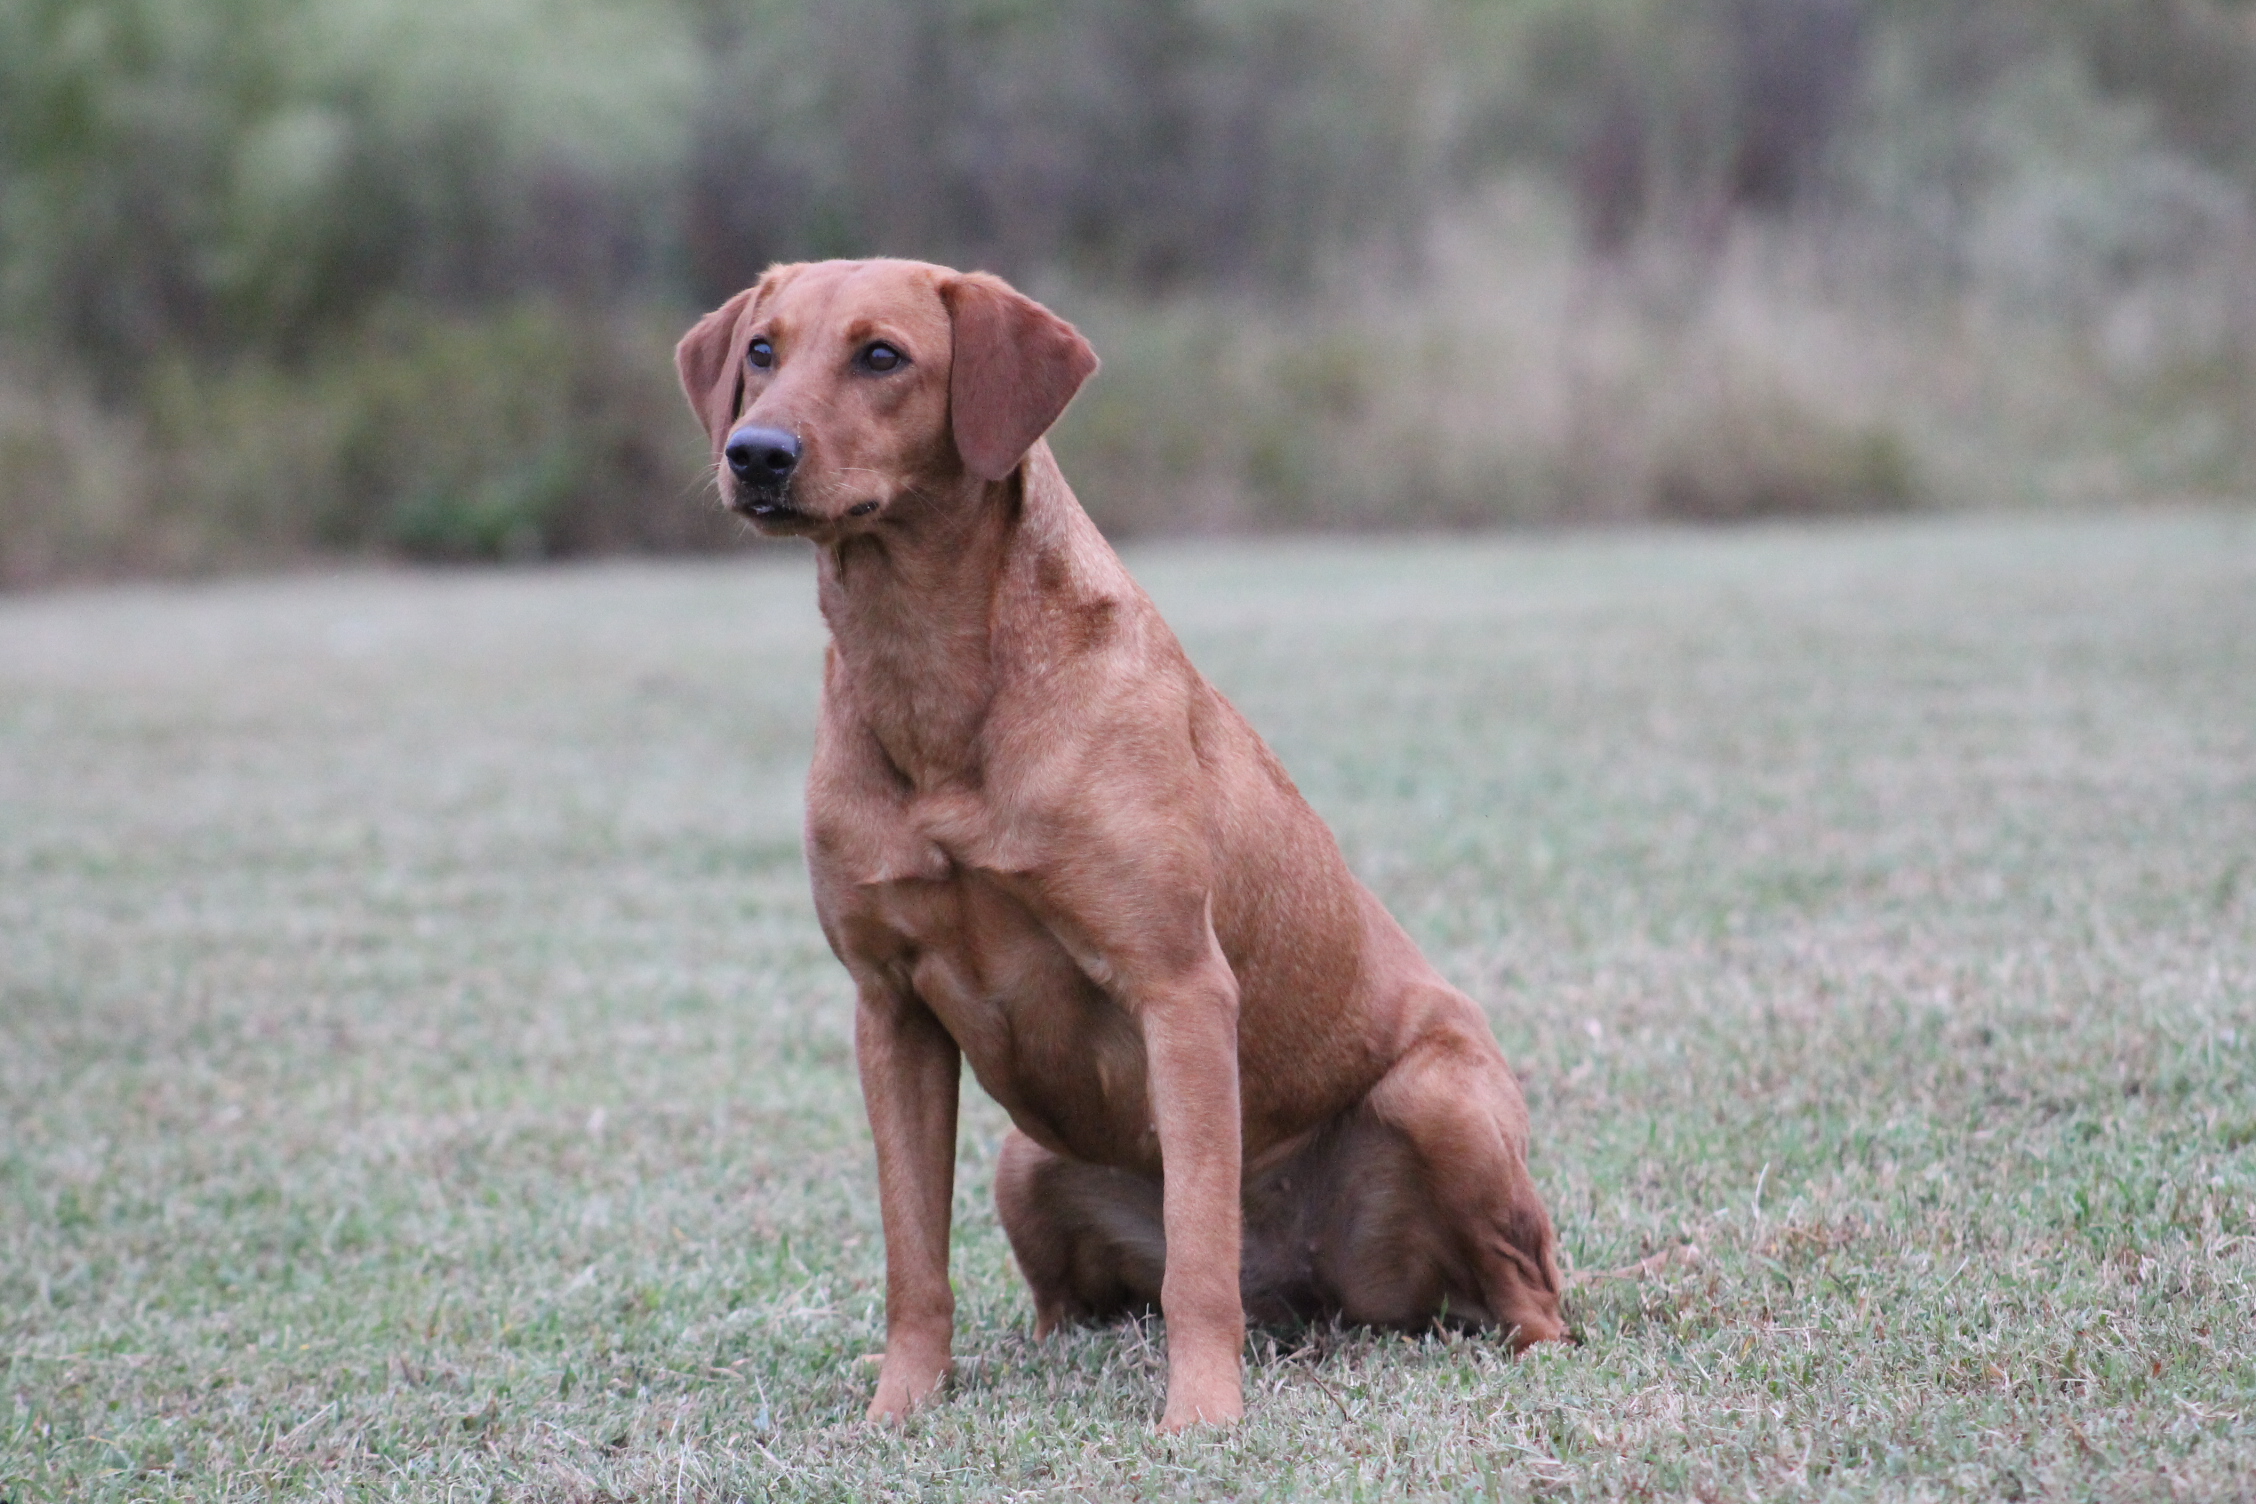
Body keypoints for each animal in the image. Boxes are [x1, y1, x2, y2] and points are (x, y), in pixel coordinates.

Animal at [672, 261, 1570, 1434]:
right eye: (762, 351)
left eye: (882, 356)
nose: (757, 453)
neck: (933, 684)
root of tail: (1312, 1287)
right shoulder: (889, 1009)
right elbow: (915, 1260)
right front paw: (898, 1407)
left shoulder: (1178, 987)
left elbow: (1196, 1255)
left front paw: (1202, 1418)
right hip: (1025, 1161)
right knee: (1065, 1302)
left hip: (1441, 1101)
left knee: (1529, 1287)